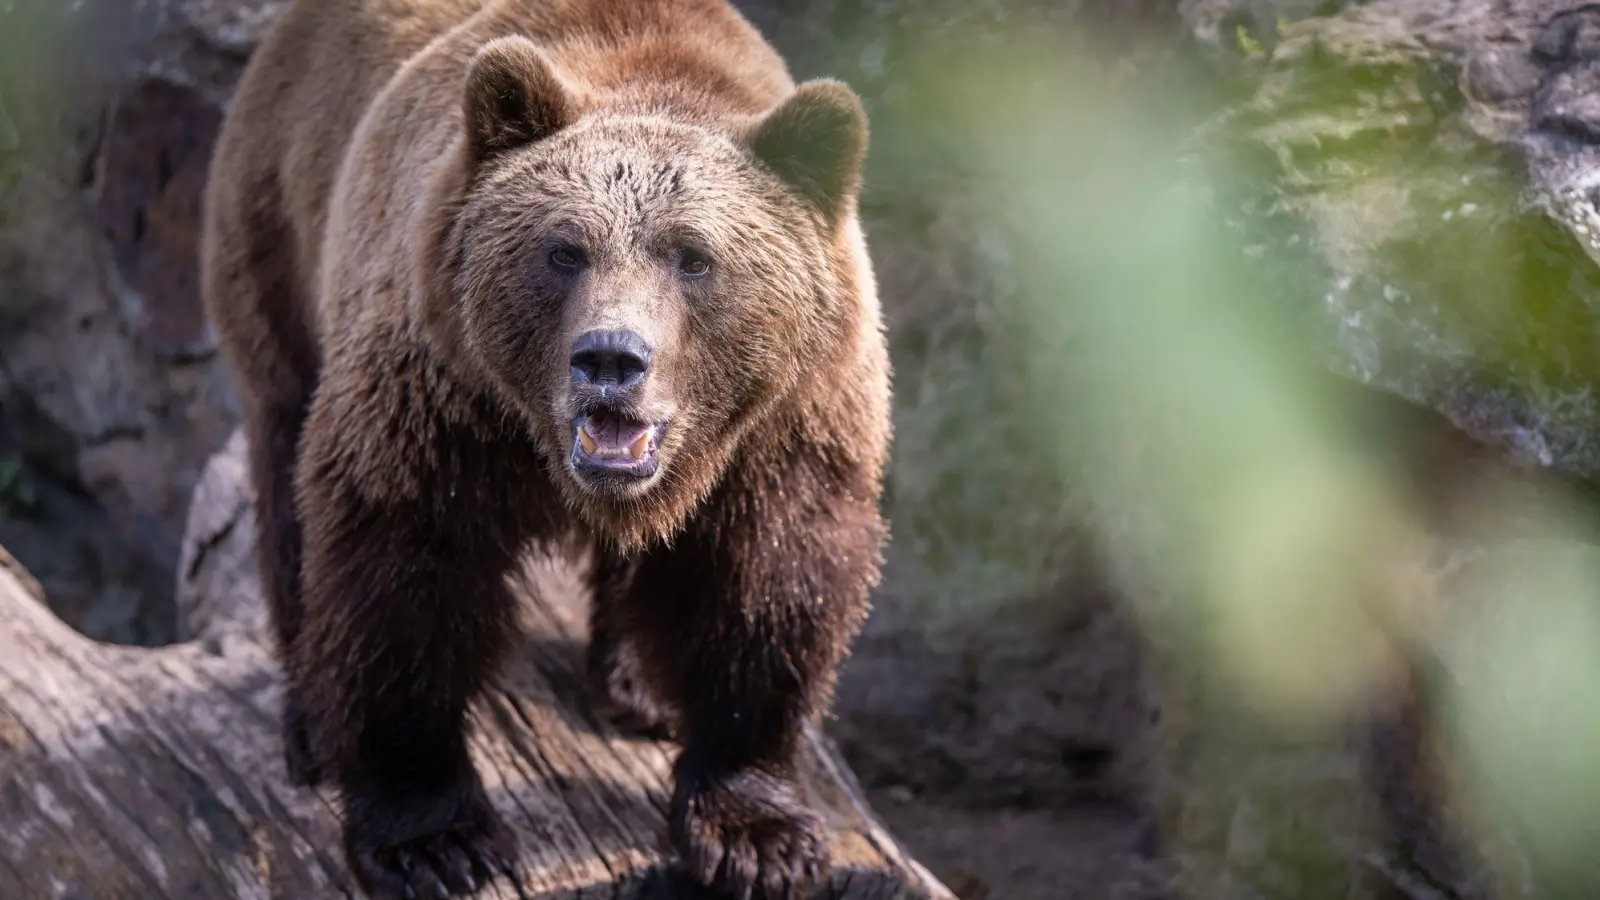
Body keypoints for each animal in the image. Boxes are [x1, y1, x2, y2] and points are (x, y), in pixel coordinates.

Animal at [198, 1, 889, 898]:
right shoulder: (440, 400)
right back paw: (312, 720)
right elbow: (399, 577)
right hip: (279, 227)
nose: (611, 358)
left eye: (694, 256)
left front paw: (755, 832)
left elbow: (769, 584)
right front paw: (433, 838)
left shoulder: (787, 425)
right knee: (285, 468)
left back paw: (641, 685)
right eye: (564, 249)